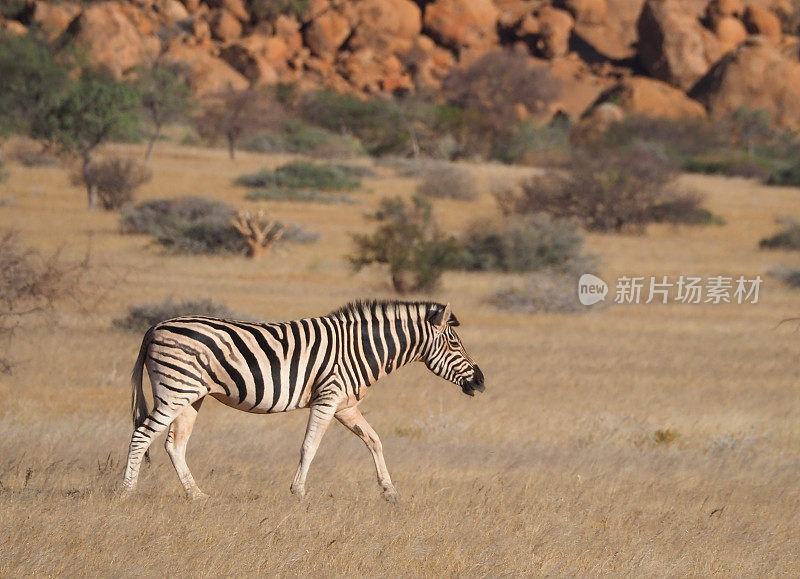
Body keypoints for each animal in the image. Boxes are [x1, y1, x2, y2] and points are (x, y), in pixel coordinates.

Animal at [122, 302, 484, 500]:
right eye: (455, 344)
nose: (481, 382)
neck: (362, 349)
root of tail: (155, 326)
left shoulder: (345, 405)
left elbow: (374, 440)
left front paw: (389, 490)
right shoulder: (328, 398)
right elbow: (309, 446)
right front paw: (298, 492)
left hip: (190, 395)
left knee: (174, 443)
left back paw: (197, 495)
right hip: (174, 390)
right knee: (142, 435)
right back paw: (127, 491)